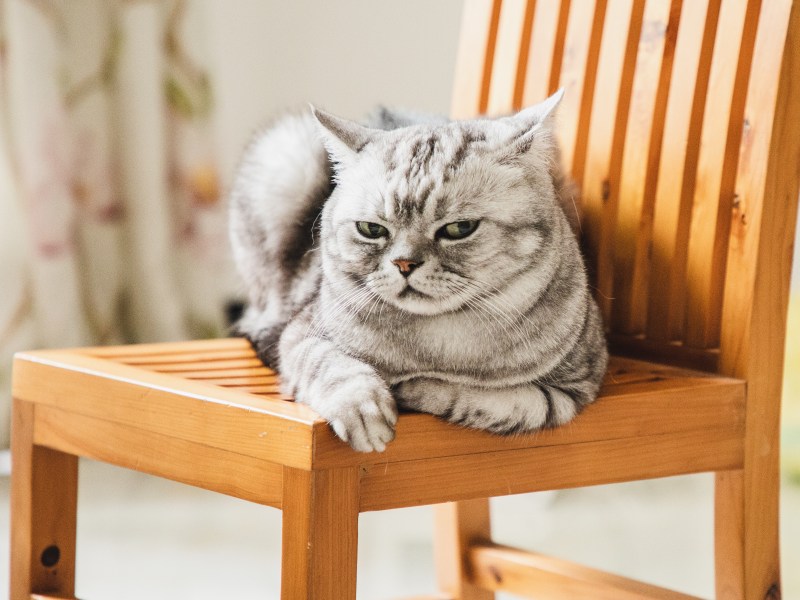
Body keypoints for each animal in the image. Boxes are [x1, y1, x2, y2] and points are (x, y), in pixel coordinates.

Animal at [228, 91, 608, 452]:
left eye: (459, 229)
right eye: (371, 229)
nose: (404, 263)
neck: (434, 344)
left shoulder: (573, 390)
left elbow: (498, 401)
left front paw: (412, 388)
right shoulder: (300, 334)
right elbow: (330, 364)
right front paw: (363, 409)